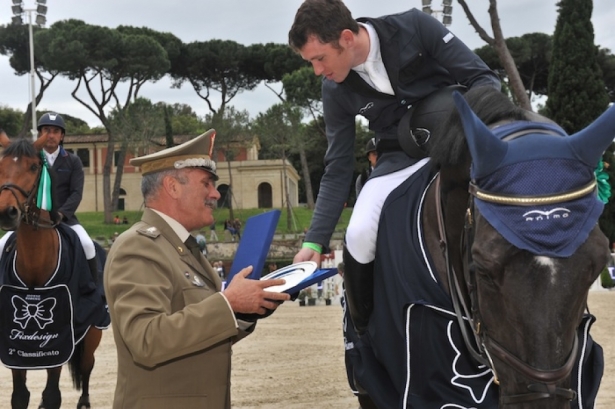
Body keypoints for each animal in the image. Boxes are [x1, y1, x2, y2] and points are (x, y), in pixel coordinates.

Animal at [0, 131, 107, 408]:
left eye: (33, 167)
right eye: (0, 166)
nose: (7, 212)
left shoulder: (60, 337)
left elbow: (51, 395)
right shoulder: (14, 340)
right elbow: (20, 396)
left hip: (92, 333)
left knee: (87, 365)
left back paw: (84, 401)